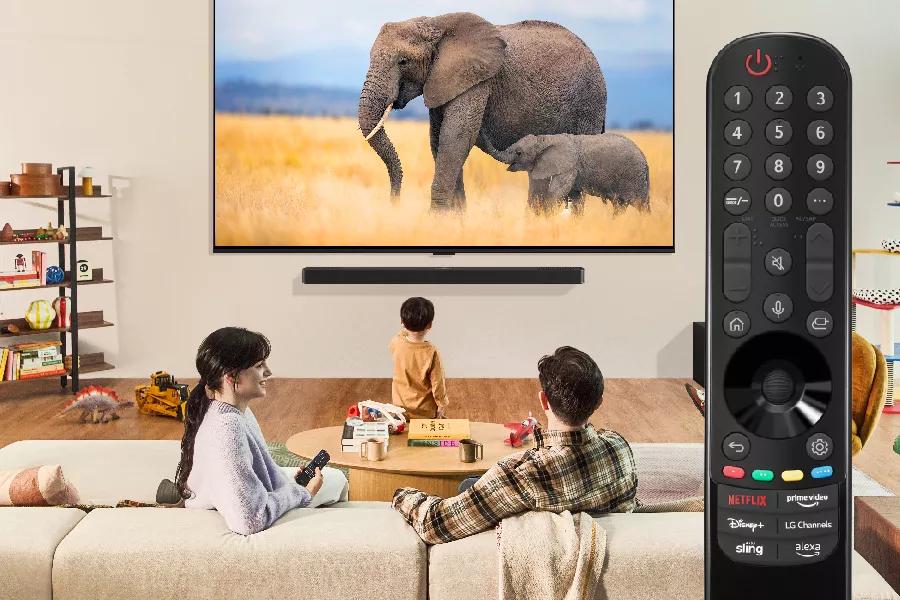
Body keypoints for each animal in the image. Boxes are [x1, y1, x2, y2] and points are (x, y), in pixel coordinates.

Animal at [358, 10, 604, 212]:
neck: (436, 24)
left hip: (588, 104)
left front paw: (436, 221)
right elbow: (438, 139)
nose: (394, 203)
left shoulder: (477, 80)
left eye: (403, 61)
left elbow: (455, 137)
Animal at [500, 132, 648, 214]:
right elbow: (536, 193)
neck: (544, 139)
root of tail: (644, 157)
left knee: (640, 204)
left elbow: (556, 192)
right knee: (621, 206)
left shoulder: (570, 166)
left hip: (634, 177)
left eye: (519, 153)